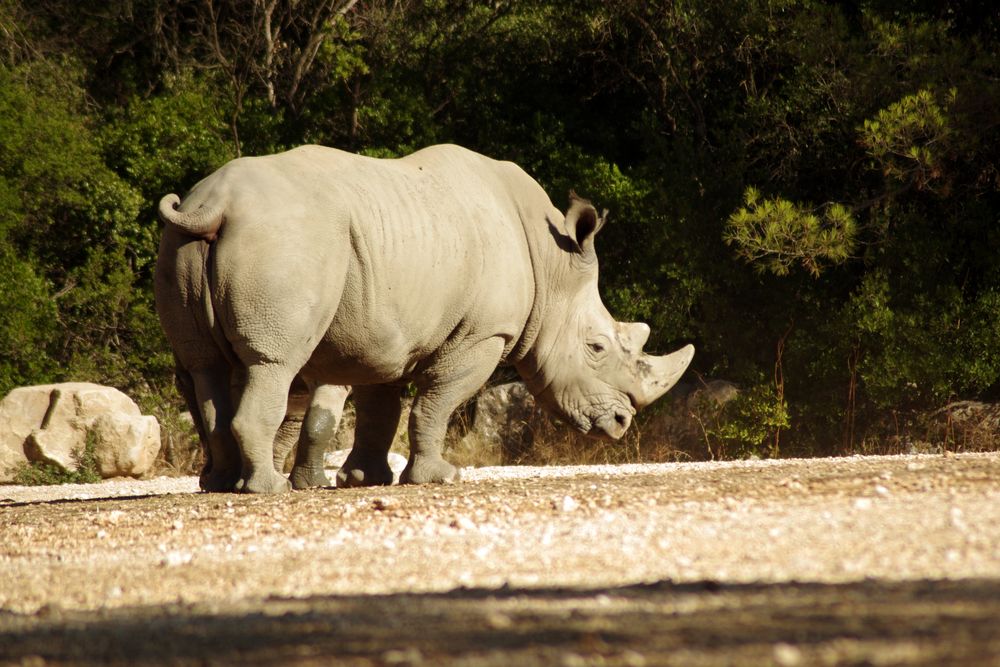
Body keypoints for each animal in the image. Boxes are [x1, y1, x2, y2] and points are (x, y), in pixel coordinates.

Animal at [154, 144, 696, 494]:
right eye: (597, 348)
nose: (622, 423)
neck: (552, 266)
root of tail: (215, 204)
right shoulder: (484, 334)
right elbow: (438, 402)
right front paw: (440, 477)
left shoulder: (381, 332)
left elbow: (380, 408)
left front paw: (364, 481)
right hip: (288, 238)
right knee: (273, 364)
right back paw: (266, 489)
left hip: (183, 244)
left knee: (203, 367)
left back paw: (222, 485)